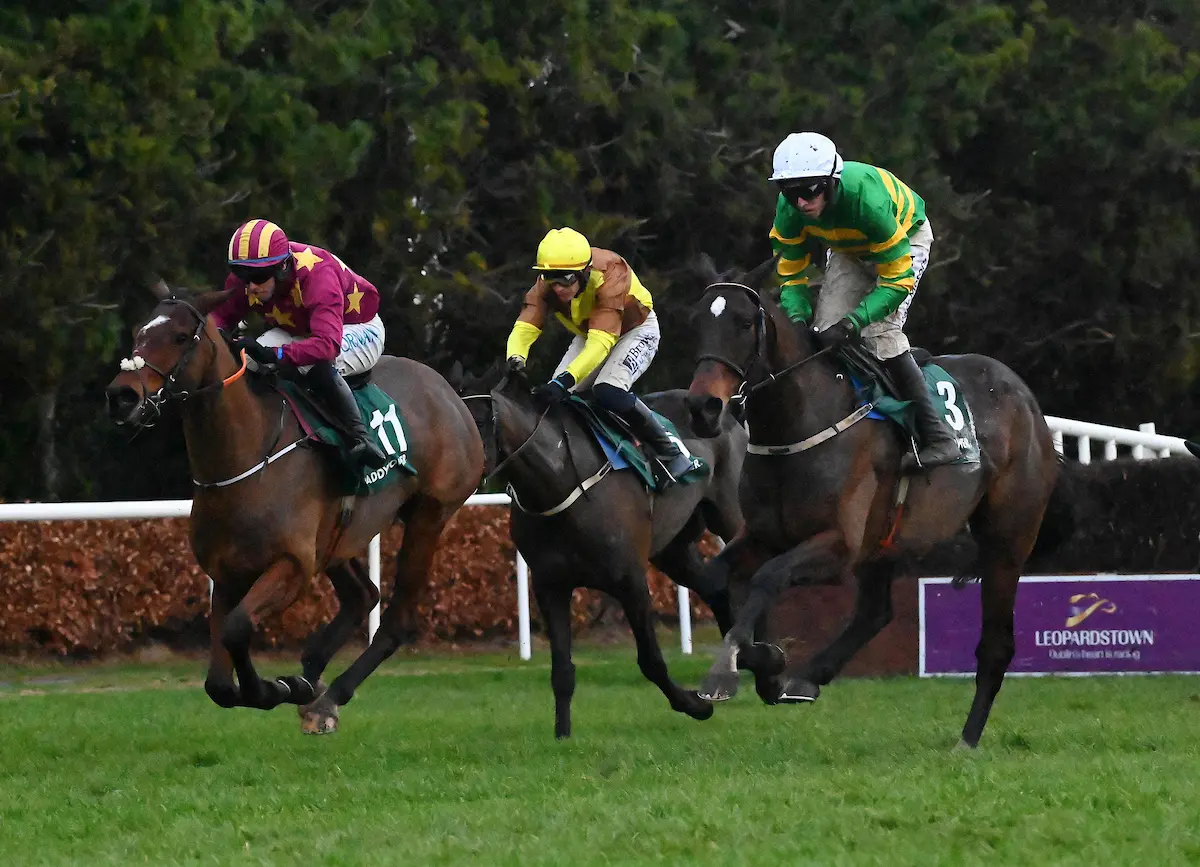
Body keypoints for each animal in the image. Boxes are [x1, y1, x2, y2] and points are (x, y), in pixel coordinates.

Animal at [105, 293, 483, 733]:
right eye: (138, 332)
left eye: (181, 336)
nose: (122, 395)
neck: (250, 457)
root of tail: (449, 393)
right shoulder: (227, 573)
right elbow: (219, 683)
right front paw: (292, 684)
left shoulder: (293, 565)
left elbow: (238, 630)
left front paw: (277, 689)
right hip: (339, 537)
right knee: (363, 595)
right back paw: (314, 673)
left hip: (429, 515)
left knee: (396, 620)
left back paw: (328, 697)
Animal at [457, 363, 746, 738]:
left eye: (478, 420)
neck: (558, 482)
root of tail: (723, 409)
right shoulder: (550, 585)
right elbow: (562, 670)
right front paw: (562, 735)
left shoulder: (630, 580)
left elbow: (651, 660)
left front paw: (694, 706)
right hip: (673, 549)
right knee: (716, 588)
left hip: (733, 516)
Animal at [684, 265, 1061, 749]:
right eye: (697, 322)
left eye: (745, 324)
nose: (702, 407)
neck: (800, 423)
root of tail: (1024, 398)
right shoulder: (763, 534)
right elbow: (713, 577)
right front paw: (768, 663)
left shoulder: (839, 544)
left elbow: (768, 578)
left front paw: (727, 671)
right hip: (885, 539)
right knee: (876, 611)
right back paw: (809, 678)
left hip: (1007, 541)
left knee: (996, 644)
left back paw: (967, 739)